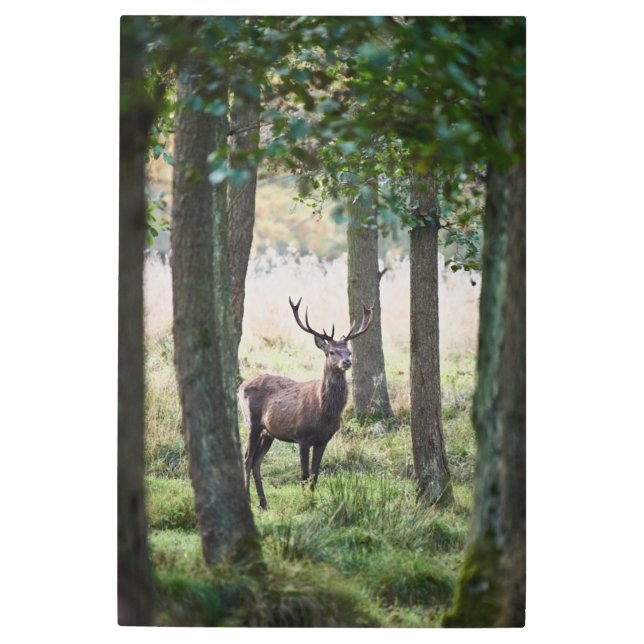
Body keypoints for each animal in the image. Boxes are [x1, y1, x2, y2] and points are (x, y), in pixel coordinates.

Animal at [238, 296, 374, 510]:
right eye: (331, 352)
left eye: (349, 352)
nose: (346, 362)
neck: (324, 413)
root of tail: (242, 385)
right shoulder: (301, 436)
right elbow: (303, 474)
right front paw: (305, 502)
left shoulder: (323, 439)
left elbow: (315, 474)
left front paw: (312, 500)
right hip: (251, 422)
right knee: (247, 458)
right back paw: (249, 498)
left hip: (268, 432)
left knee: (256, 461)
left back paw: (263, 503)